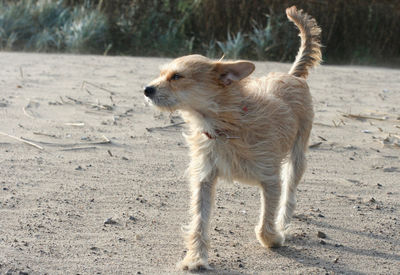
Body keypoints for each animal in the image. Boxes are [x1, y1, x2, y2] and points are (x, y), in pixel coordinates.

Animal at [144, 5, 322, 272]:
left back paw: (284, 221)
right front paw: (195, 258)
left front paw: (274, 238)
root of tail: (293, 76)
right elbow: (199, 221)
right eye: (162, 74)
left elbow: (265, 222)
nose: (147, 89)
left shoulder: (270, 179)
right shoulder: (204, 179)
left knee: (289, 192)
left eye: (177, 77)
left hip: (297, 156)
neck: (224, 127)